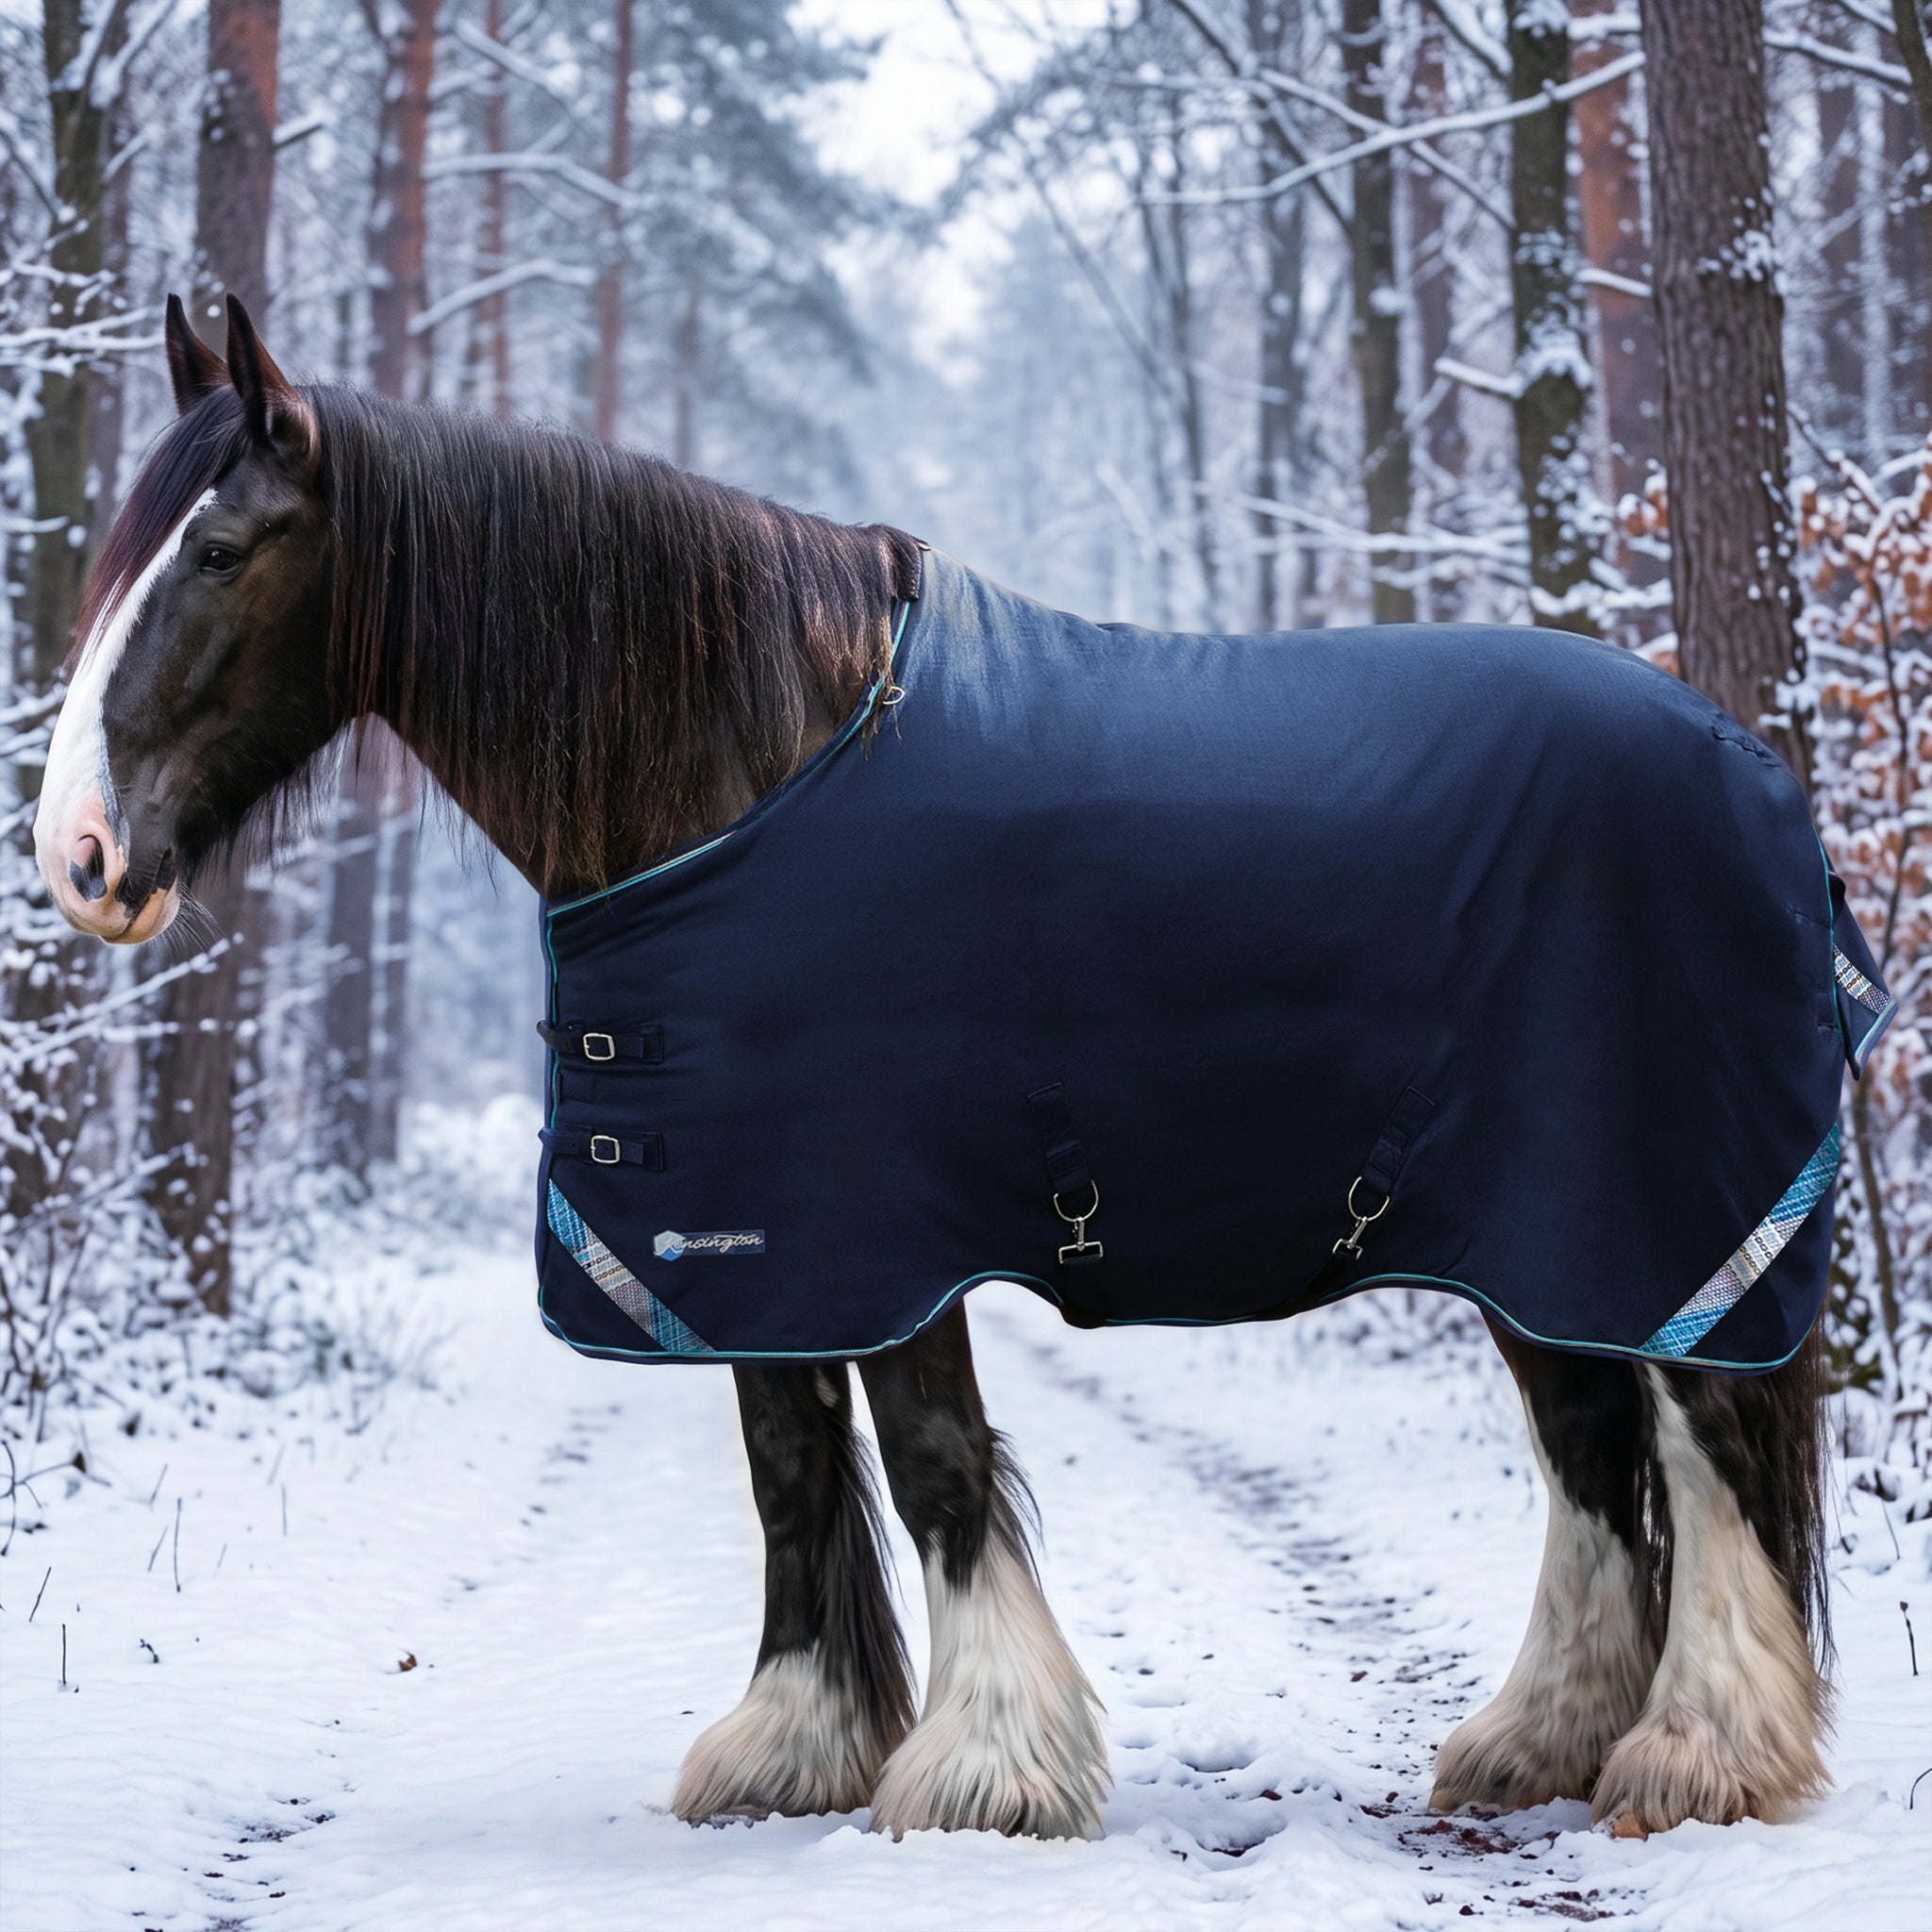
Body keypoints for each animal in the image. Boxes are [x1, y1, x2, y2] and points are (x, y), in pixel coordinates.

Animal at [32, 295, 1847, 1843]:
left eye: (216, 548)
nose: (79, 856)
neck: (747, 760)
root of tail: (1753, 763)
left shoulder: (887, 1224)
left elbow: (933, 1463)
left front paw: (987, 1766)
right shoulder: (755, 1233)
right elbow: (786, 1464)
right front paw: (793, 1745)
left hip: (1647, 1209)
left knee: (1694, 1436)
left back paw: (1695, 1750)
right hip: (1527, 1239)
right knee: (1594, 1450)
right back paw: (1541, 1740)